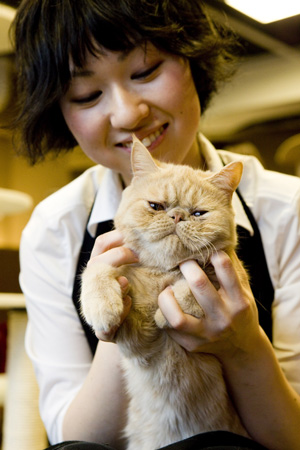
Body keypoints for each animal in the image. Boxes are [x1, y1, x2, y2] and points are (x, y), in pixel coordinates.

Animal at [80, 137, 248, 450]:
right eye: (156, 206)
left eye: (198, 213)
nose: (177, 215)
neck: (162, 274)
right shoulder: (137, 343)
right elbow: (95, 273)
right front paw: (104, 309)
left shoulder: (226, 272)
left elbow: (191, 290)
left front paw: (164, 313)